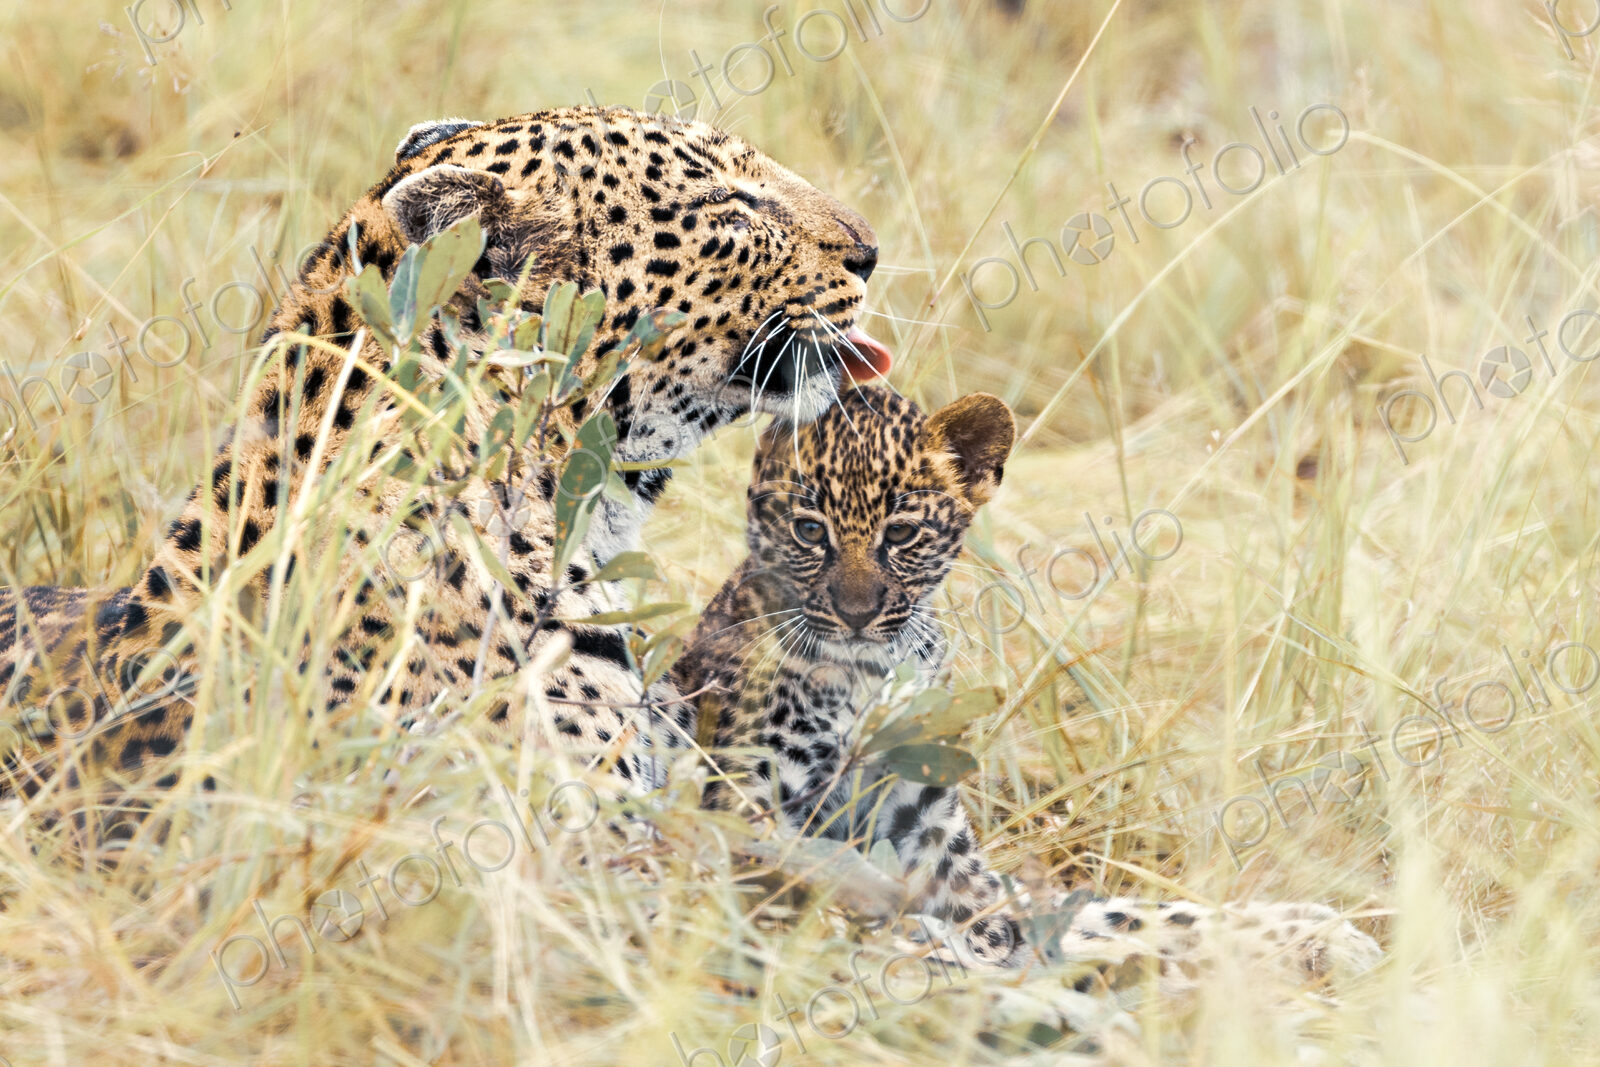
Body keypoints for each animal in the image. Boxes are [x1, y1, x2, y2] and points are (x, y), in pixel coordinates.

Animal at [673, 385, 1385, 984]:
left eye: (900, 533)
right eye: (808, 529)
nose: (855, 614)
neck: (869, 678)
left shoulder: (942, 856)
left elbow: (1117, 914)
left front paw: (1320, 933)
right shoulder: (746, 821)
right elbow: (928, 940)